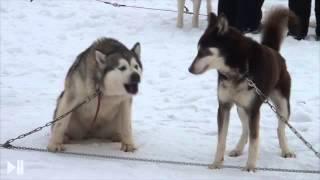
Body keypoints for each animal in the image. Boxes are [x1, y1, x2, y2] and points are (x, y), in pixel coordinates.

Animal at [188, 8, 298, 172]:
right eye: (197, 50)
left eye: (204, 51)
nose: (189, 69)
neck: (238, 70)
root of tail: (274, 52)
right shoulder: (224, 106)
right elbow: (221, 138)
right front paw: (217, 163)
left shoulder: (253, 109)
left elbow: (254, 140)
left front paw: (250, 166)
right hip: (241, 108)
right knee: (245, 130)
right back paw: (238, 149)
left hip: (282, 105)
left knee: (280, 129)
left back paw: (286, 150)